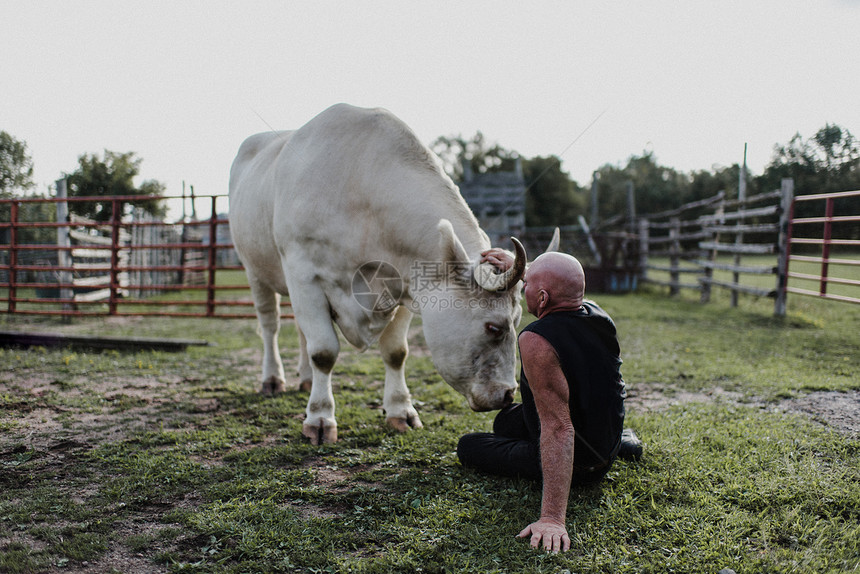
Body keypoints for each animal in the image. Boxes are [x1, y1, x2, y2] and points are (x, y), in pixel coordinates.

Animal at [228, 102, 536, 446]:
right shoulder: (304, 275)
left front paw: (401, 411)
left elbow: (395, 352)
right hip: (254, 270)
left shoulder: (406, 285)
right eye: (494, 327)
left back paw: (306, 380)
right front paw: (320, 418)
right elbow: (323, 351)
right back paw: (272, 379)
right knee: (270, 325)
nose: (508, 395)